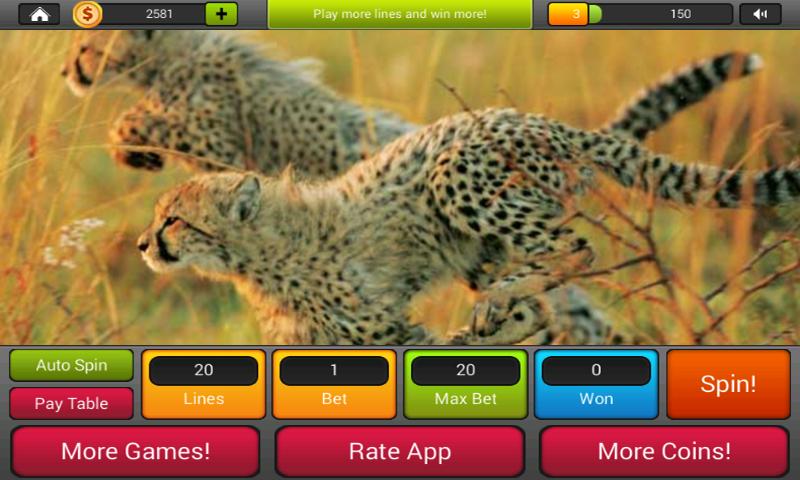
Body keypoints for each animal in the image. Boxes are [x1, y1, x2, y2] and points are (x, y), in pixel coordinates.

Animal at [136, 102, 800, 345]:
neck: (260, 253)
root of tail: (538, 120)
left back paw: (495, 312)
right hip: (477, 248)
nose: (143, 243)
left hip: (456, 174)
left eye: (174, 220)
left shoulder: (382, 329)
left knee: (575, 249)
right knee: (540, 305)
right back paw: (499, 314)